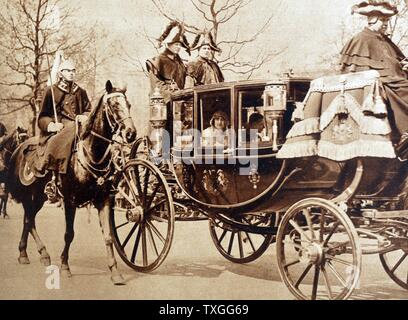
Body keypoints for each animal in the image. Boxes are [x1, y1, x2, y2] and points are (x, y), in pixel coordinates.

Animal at [7, 80, 137, 284]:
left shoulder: (104, 200)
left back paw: (29, 253)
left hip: (40, 198)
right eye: (114, 105)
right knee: (29, 219)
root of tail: (19, 149)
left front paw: (115, 272)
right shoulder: (70, 200)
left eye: (128, 105)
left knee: (29, 219)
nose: (131, 133)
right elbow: (69, 234)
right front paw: (65, 266)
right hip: (31, 195)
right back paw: (36, 253)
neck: (91, 152)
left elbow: (108, 236)